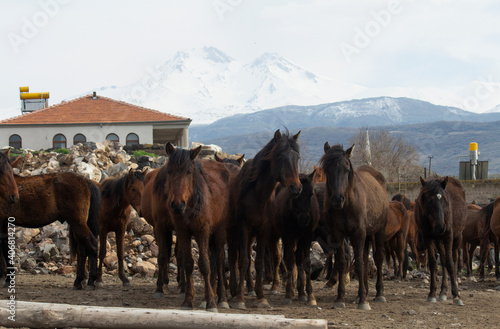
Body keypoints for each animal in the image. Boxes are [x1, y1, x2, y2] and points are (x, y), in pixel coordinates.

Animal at [156, 142, 230, 312]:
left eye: (189, 172)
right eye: (169, 171)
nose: (177, 205)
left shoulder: (202, 232)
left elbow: (204, 265)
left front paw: (211, 303)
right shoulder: (183, 233)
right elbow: (189, 263)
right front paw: (188, 300)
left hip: (219, 232)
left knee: (220, 261)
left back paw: (222, 298)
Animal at [228, 129, 300, 308]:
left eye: (297, 157)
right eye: (280, 157)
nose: (295, 188)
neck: (257, 196)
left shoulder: (263, 231)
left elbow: (259, 261)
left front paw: (260, 296)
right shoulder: (243, 229)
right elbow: (243, 261)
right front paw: (239, 299)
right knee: (232, 259)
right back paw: (231, 291)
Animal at [274, 172, 320, 304]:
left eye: (311, 194)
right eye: (296, 196)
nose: (305, 219)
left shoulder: (307, 237)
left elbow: (307, 262)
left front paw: (310, 295)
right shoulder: (288, 236)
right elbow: (290, 261)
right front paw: (288, 294)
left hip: (299, 239)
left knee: (299, 259)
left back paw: (301, 292)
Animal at [322, 144, 388, 310]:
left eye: (346, 169)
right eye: (327, 169)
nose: (337, 199)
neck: (347, 205)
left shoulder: (358, 233)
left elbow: (358, 263)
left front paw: (364, 301)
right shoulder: (338, 234)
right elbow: (342, 262)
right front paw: (340, 298)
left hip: (379, 231)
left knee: (378, 258)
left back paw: (379, 294)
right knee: (364, 258)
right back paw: (361, 294)